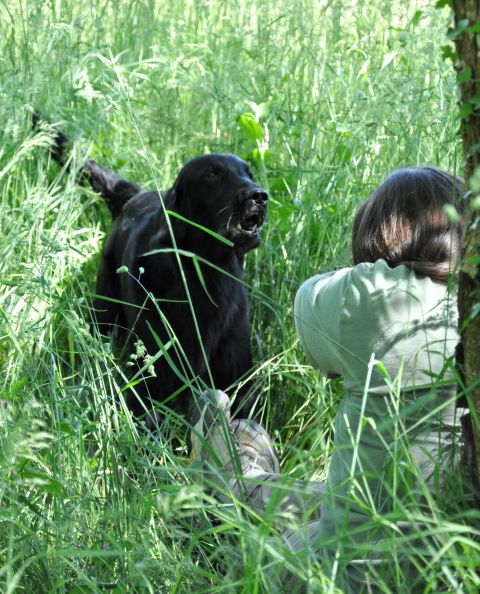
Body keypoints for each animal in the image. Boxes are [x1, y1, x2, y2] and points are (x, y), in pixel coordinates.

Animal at [42, 119, 266, 420]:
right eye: (212, 174)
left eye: (248, 173)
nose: (260, 196)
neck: (204, 276)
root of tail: (138, 195)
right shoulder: (150, 376)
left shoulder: (238, 378)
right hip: (104, 310)